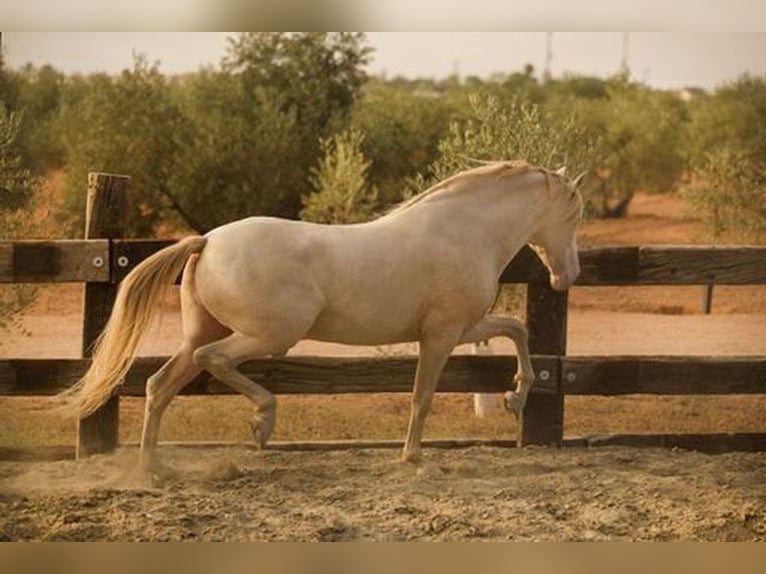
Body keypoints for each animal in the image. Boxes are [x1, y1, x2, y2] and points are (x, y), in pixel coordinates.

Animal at [60, 160, 585, 470]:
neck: (465, 231)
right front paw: (412, 456)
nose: (569, 275)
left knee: (159, 384)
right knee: (215, 360)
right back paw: (262, 423)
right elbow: (422, 395)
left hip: (202, 334)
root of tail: (206, 241)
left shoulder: (464, 327)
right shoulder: (440, 333)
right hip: (271, 334)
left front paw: (515, 398)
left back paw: (153, 470)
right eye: (574, 215)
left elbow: (517, 331)